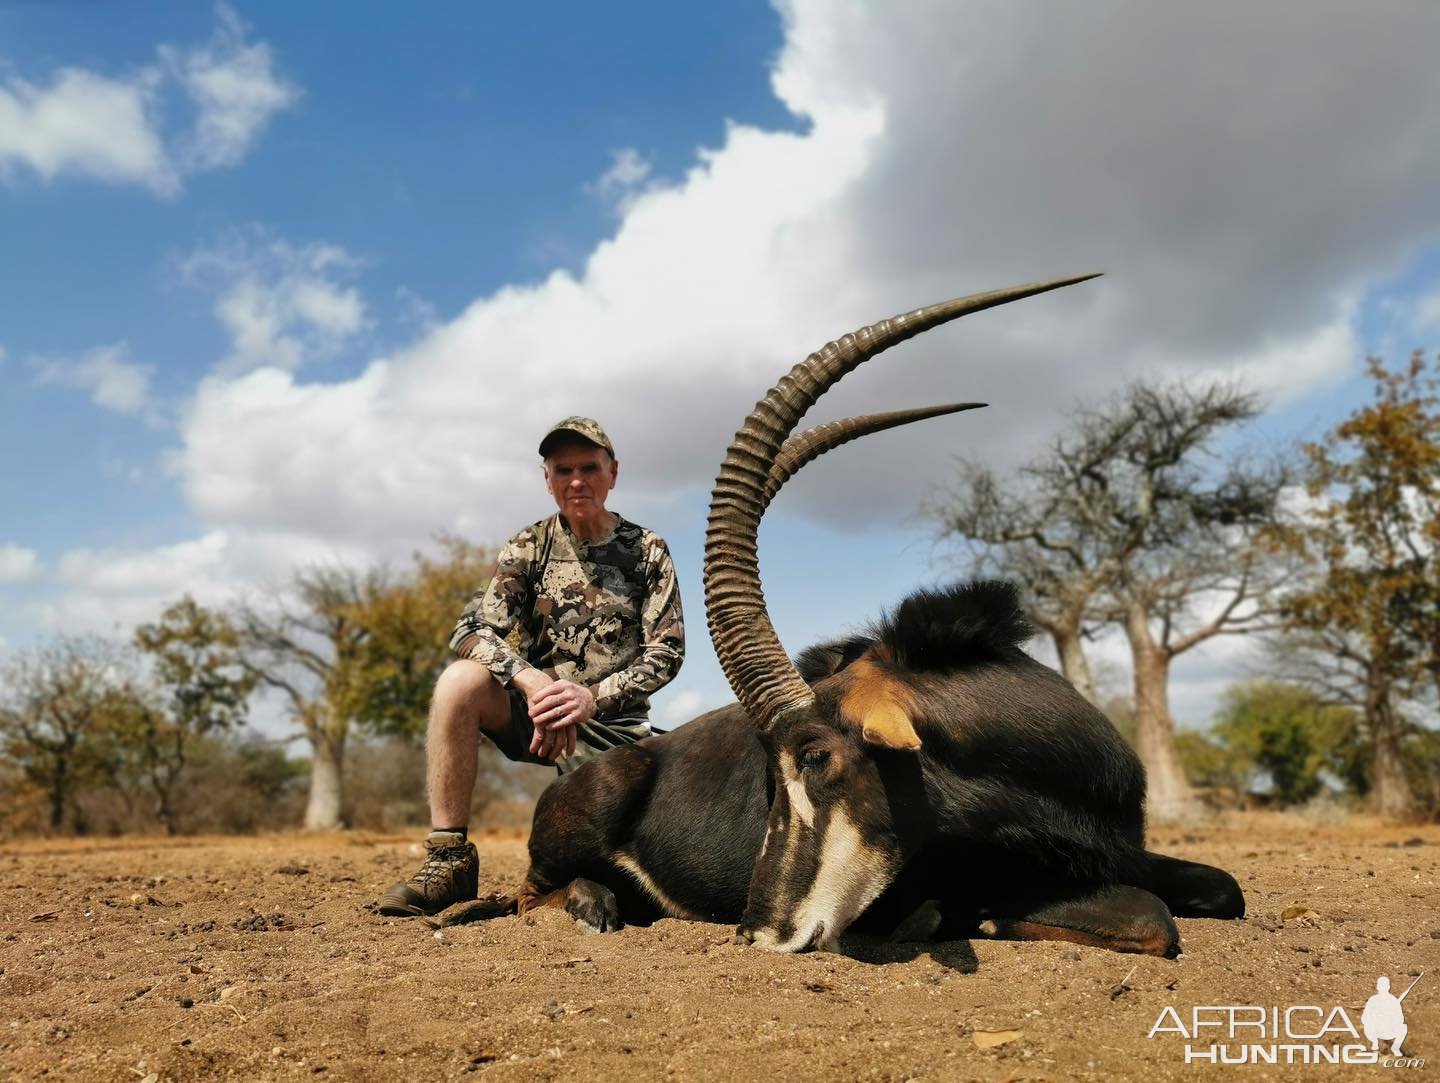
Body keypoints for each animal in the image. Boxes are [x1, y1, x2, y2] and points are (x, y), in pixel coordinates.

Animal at [492, 276, 1238, 956]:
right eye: (767, 777)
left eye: (814, 756)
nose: (758, 932)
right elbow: (1148, 916)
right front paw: (964, 919)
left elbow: (1222, 888)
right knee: (530, 893)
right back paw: (591, 901)